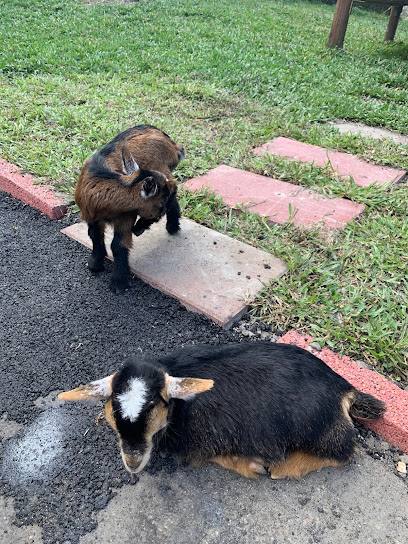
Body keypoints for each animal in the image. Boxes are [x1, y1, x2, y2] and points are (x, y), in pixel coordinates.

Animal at [58, 344, 386, 480]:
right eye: (113, 406)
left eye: (160, 401)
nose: (133, 462)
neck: (180, 410)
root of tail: (344, 388)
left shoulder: (202, 443)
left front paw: (252, 466)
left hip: (318, 429)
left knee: (344, 451)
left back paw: (284, 469)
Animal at [75, 124, 185, 294]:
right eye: (161, 202)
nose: (159, 214)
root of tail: (171, 143)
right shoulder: (90, 215)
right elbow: (94, 235)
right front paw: (95, 264)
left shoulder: (126, 216)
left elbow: (118, 245)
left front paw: (118, 283)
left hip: (163, 169)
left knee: (175, 188)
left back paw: (165, 227)